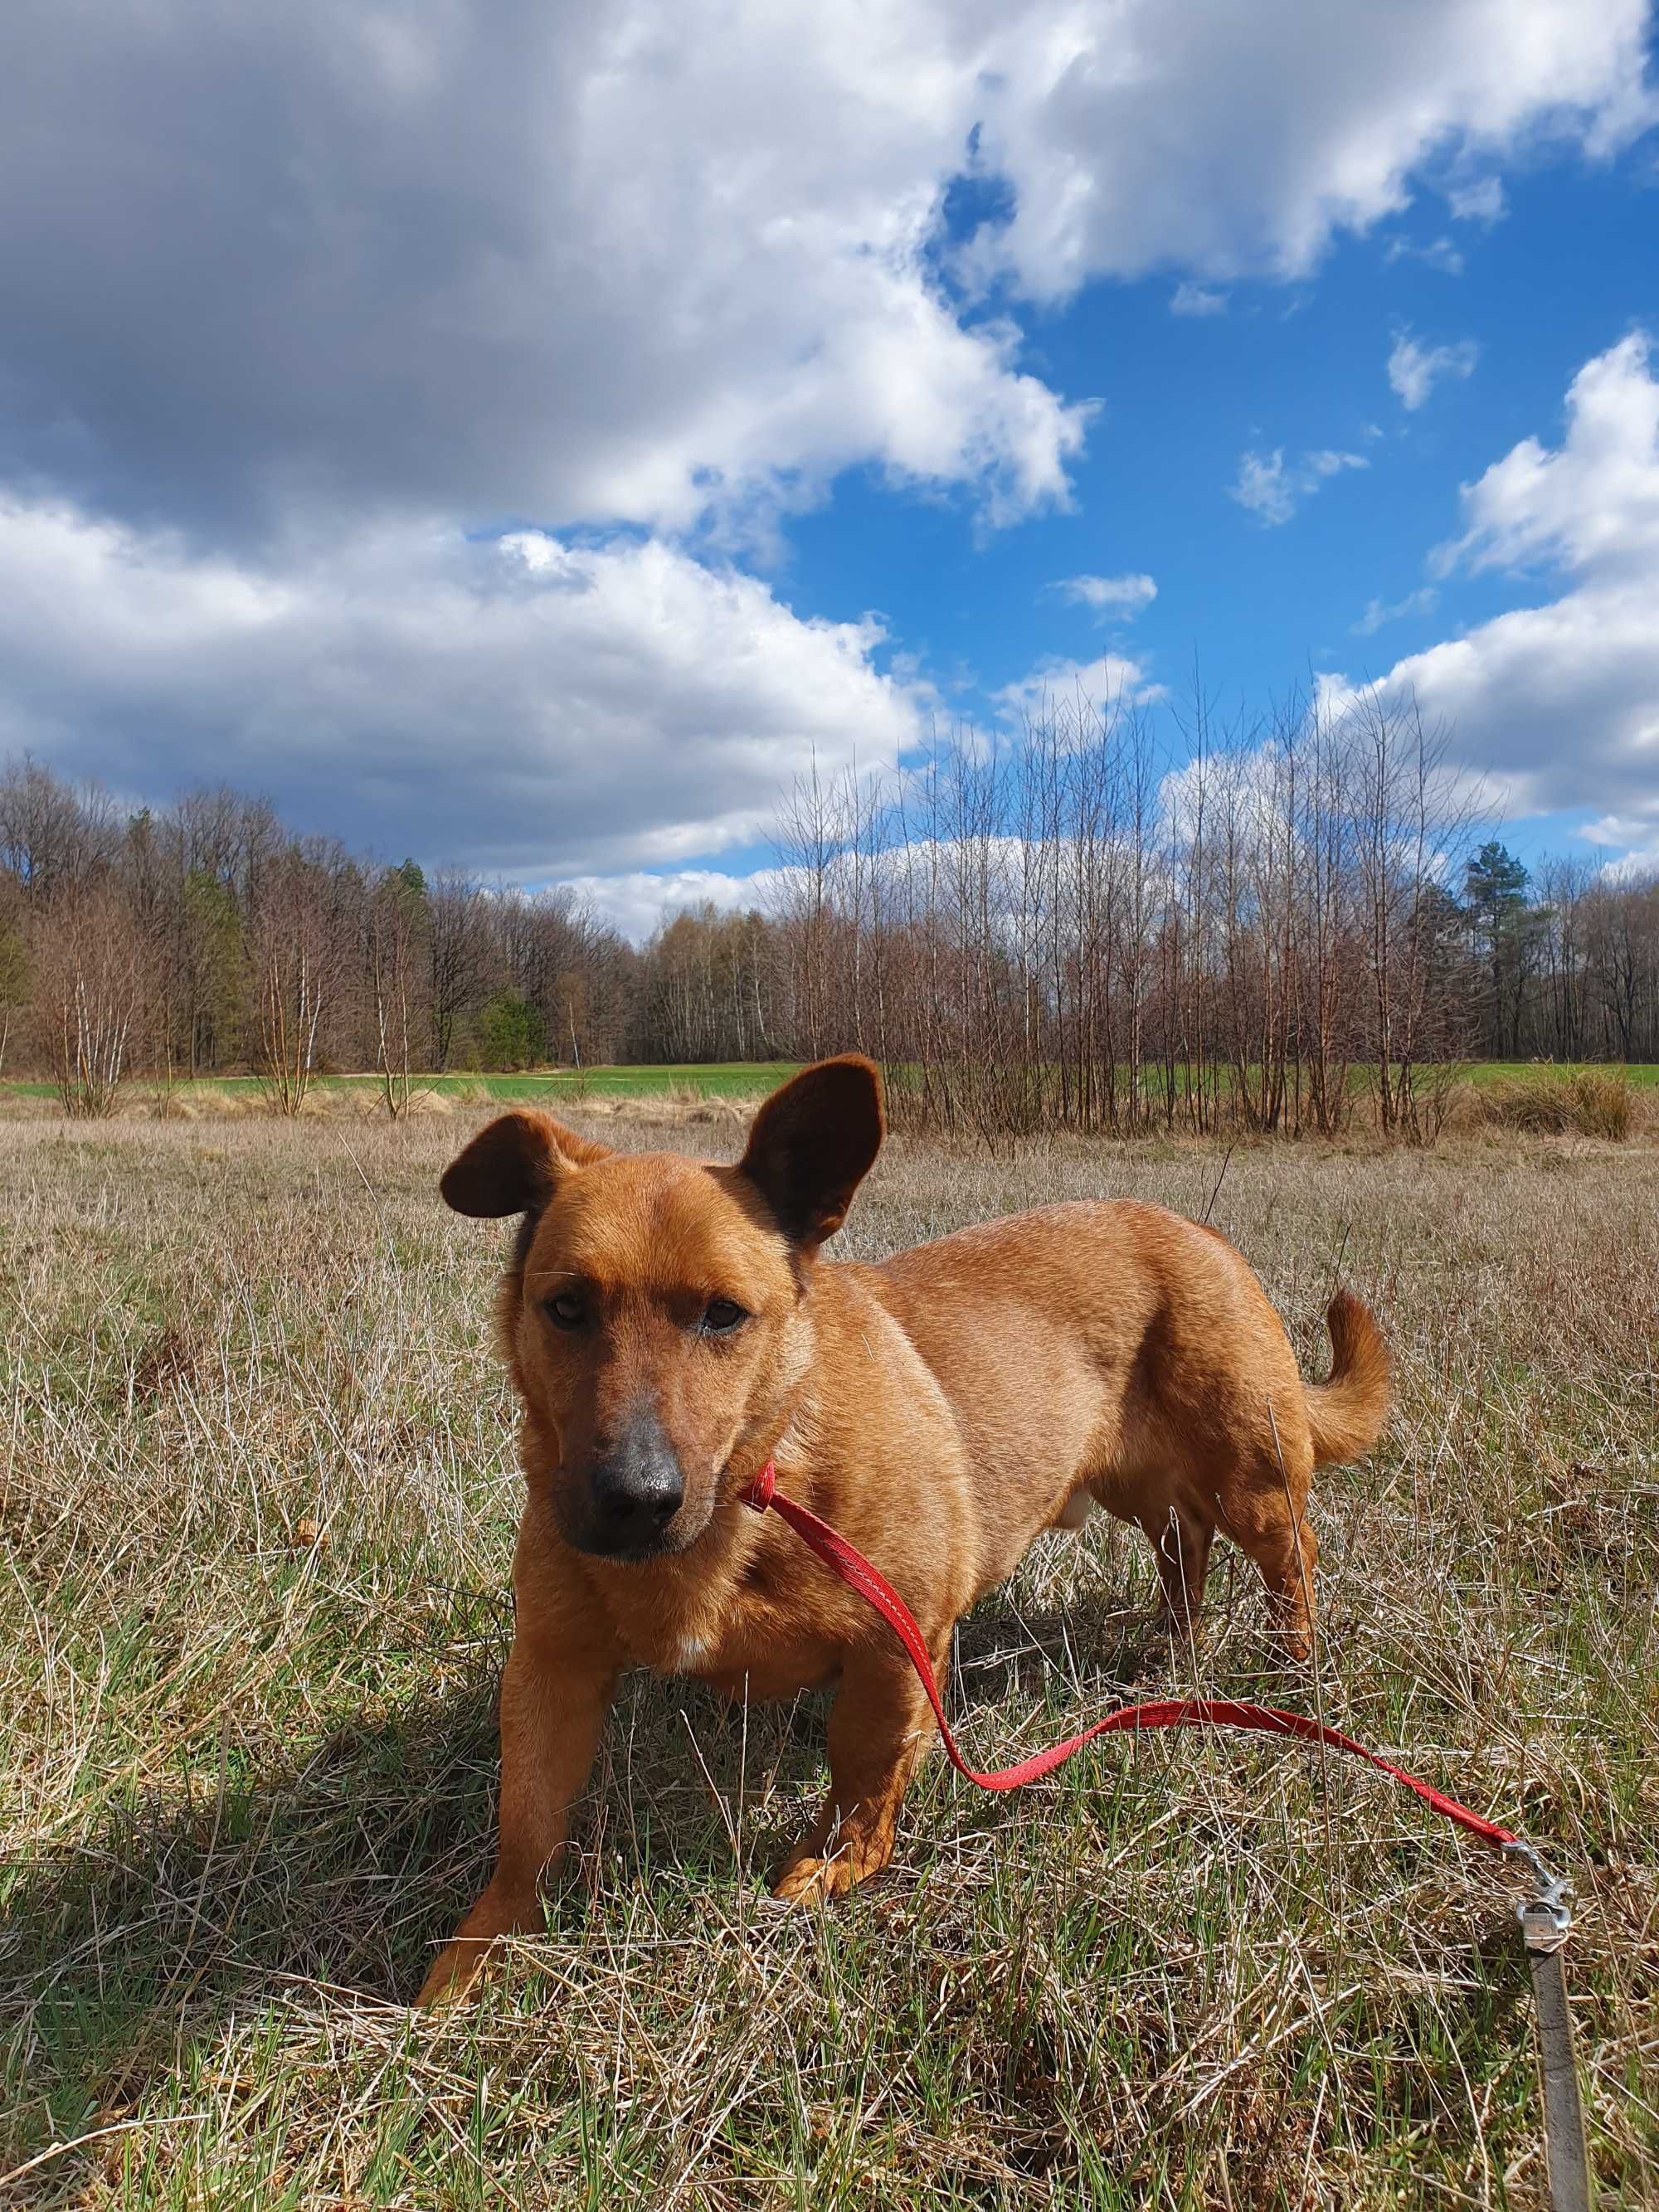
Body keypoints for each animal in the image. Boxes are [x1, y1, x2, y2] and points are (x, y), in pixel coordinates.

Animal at [413, 1053, 1389, 2008]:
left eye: (724, 1313)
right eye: (566, 1307)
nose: (635, 1498)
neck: (756, 1485)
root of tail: (1200, 1231)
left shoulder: (895, 1647)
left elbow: (863, 1778)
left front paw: (834, 1868)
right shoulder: (552, 1666)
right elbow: (526, 1825)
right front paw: (480, 1951)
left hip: (1248, 1477)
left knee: (1287, 1560)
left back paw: (1291, 1663)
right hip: (1132, 1484)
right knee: (1183, 1548)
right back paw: (1168, 1648)